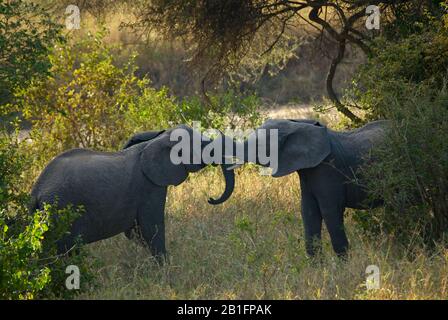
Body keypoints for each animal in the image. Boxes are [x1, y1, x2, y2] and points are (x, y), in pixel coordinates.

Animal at [29, 125, 236, 260]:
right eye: (205, 146)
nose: (210, 198)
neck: (154, 141)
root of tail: (36, 191)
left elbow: (136, 233)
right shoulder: (149, 187)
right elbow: (152, 227)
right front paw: (165, 268)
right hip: (61, 211)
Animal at [234, 119, 388, 256]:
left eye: (259, 145)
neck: (298, 125)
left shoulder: (328, 169)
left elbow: (330, 211)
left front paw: (344, 265)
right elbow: (308, 211)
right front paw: (317, 266)